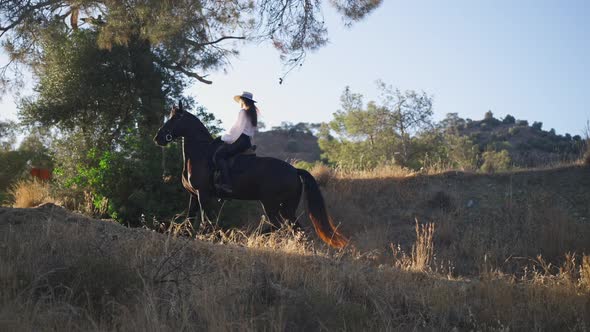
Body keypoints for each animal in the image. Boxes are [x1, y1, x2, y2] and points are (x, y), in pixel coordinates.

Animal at [153, 102, 350, 248]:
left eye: (174, 119)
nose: (158, 138)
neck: (201, 154)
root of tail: (294, 170)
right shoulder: (194, 195)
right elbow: (190, 219)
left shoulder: (203, 194)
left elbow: (205, 221)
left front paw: (215, 237)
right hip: (287, 208)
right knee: (296, 229)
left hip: (270, 203)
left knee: (278, 226)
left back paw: (252, 237)